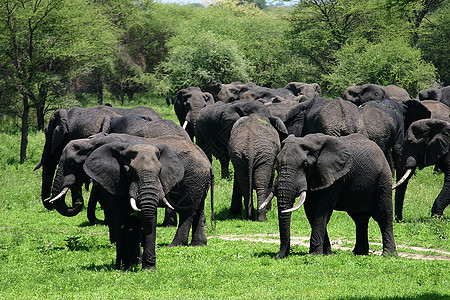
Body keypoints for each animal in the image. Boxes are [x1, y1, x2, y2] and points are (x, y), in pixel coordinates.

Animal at [260, 134, 398, 258]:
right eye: (277, 164)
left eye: (305, 165)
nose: (278, 256)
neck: (308, 141)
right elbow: (311, 212)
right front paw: (328, 253)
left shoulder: (333, 178)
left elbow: (321, 210)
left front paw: (314, 255)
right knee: (360, 218)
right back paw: (359, 253)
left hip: (383, 179)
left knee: (383, 216)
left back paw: (389, 255)